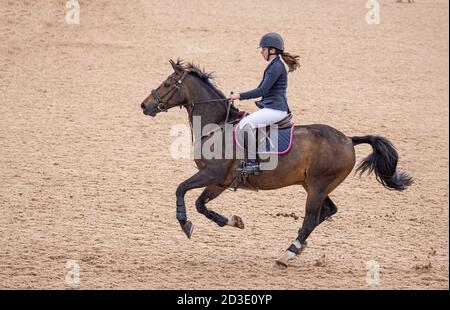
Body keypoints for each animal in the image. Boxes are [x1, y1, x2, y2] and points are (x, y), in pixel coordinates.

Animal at [139, 59, 414, 268]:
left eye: (166, 84)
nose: (144, 105)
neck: (216, 125)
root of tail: (348, 139)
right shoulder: (220, 182)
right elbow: (200, 204)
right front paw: (233, 221)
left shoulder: (212, 174)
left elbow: (181, 190)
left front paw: (184, 223)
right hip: (312, 185)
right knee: (327, 212)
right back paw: (298, 249)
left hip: (318, 186)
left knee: (311, 219)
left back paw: (287, 254)